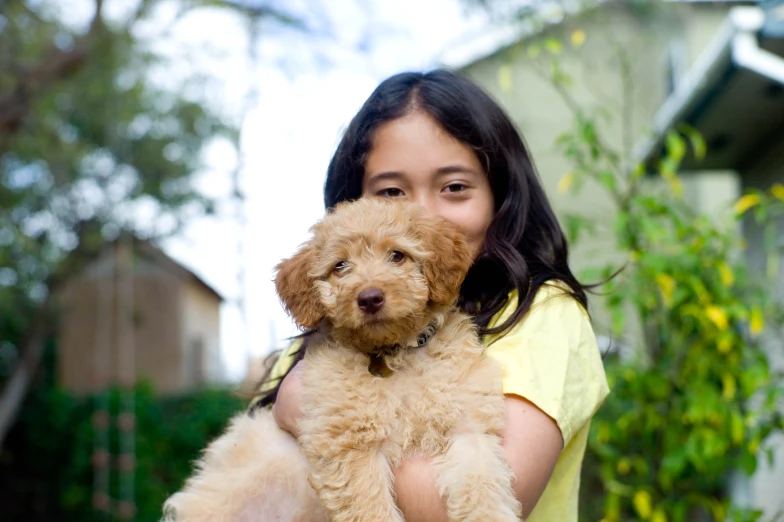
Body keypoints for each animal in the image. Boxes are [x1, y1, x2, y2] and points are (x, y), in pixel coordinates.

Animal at [163, 197, 524, 516]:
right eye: (340, 266)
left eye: (398, 255)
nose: (370, 298)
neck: (394, 355)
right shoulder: (350, 447)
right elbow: (373, 511)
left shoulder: (470, 430)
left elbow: (483, 491)